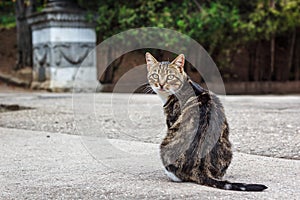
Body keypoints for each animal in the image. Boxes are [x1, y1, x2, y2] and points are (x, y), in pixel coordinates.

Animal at [145, 52, 268, 191]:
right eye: (155, 75)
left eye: (170, 77)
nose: (160, 85)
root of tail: (199, 168)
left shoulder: (171, 119)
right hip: (228, 146)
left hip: (165, 144)